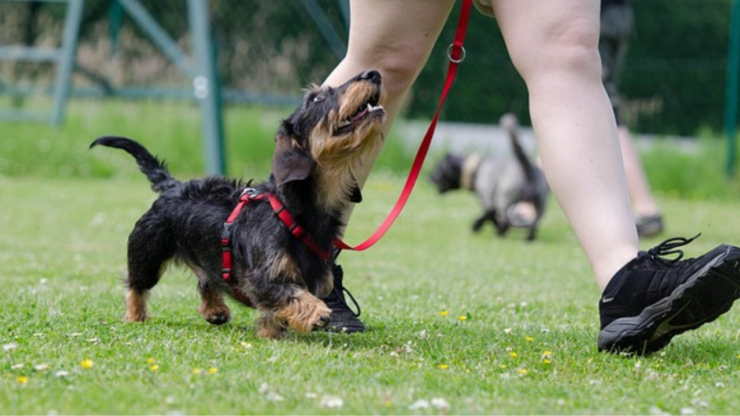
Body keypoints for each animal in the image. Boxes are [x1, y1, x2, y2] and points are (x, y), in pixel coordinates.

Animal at [89, 70, 384, 340]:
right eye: (315, 98)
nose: (373, 73)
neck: (292, 210)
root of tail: (172, 186)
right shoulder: (262, 279)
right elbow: (290, 294)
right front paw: (317, 312)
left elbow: (275, 310)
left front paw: (271, 332)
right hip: (147, 253)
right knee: (136, 286)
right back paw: (135, 315)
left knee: (206, 280)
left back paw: (215, 310)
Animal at [430, 114, 548, 244]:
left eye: (439, 168)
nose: (430, 177)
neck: (476, 169)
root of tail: (527, 167)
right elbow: (490, 216)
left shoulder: (487, 199)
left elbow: (489, 215)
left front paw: (477, 226)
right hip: (540, 204)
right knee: (534, 223)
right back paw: (529, 239)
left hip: (504, 199)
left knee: (504, 218)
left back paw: (500, 233)